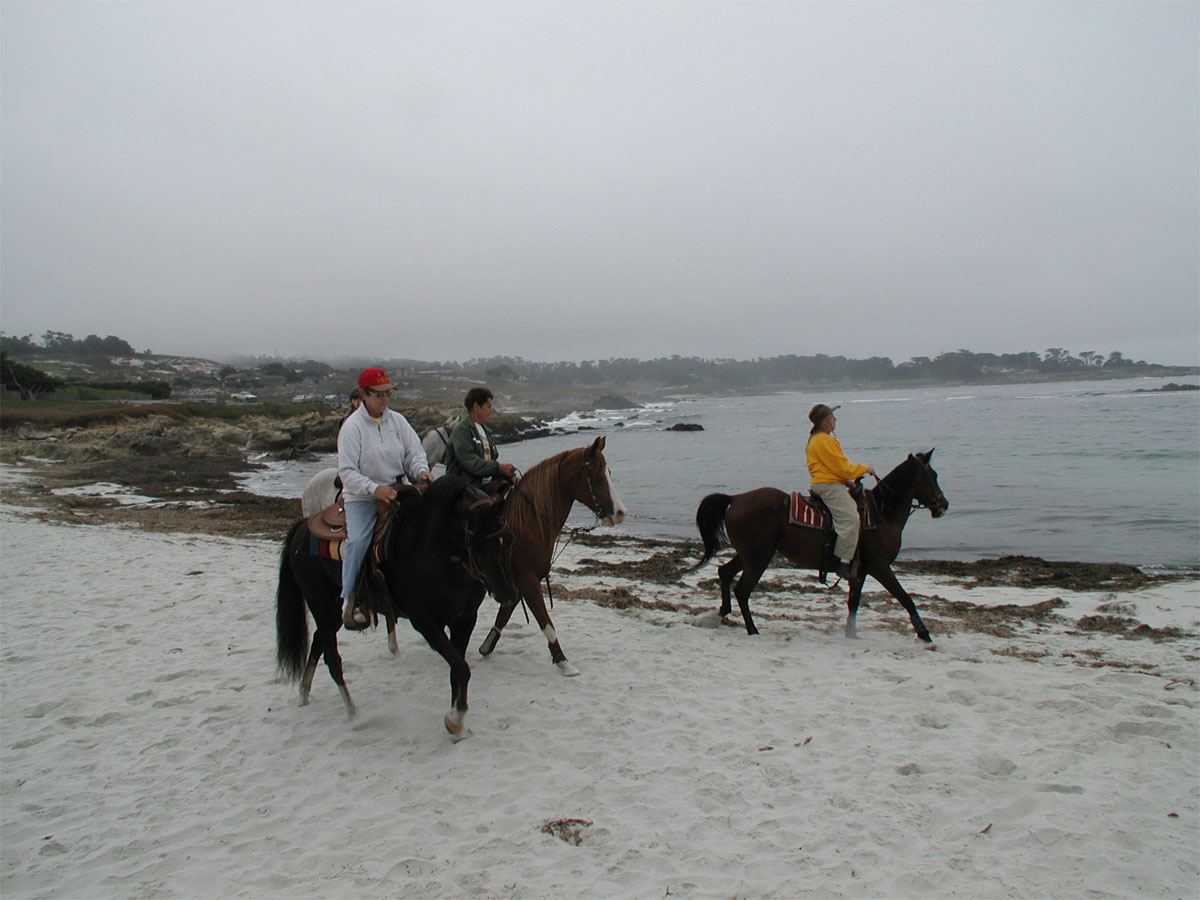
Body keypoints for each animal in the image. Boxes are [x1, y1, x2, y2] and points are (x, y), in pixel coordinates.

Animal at [472, 436, 624, 676]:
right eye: (596, 476)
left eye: (609, 473)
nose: (620, 512)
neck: (525, 522)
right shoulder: (528, 580)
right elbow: (545, 620)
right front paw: (562, 661)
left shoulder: (514, 583)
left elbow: (504, 614)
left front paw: (486, 646)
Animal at [696, 451, 945, 648]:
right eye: (933, 476)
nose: (944, 505)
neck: (881, 514)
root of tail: (736, 498)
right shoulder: (880, 567)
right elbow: (905, 598)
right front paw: (924, 634)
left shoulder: (861, 571)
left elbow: (854, 602)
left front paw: (851, 634)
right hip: (758, 558)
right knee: (742, 590)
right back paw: (752, 629)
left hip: (748, 555)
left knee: (724, 573)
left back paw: (723, 612)